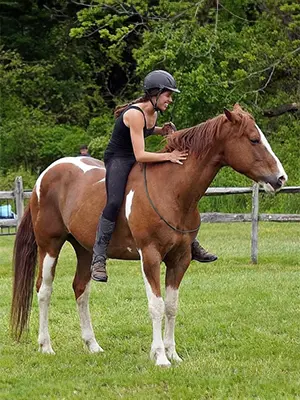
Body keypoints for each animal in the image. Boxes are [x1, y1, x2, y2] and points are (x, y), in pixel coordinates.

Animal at [11, 104, 288, 366]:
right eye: (253, 139)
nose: (281, 178)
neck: (171, 190)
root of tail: (44, 176)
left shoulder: (180, 259)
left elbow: (172, 306)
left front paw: (173, 353)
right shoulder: (150, 257)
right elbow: (156, 306)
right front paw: (160, 357)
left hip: (85, 250)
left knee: (81, 290)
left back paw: (93, 345)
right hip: (49, 245)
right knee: (44, 289)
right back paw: (46, 346)